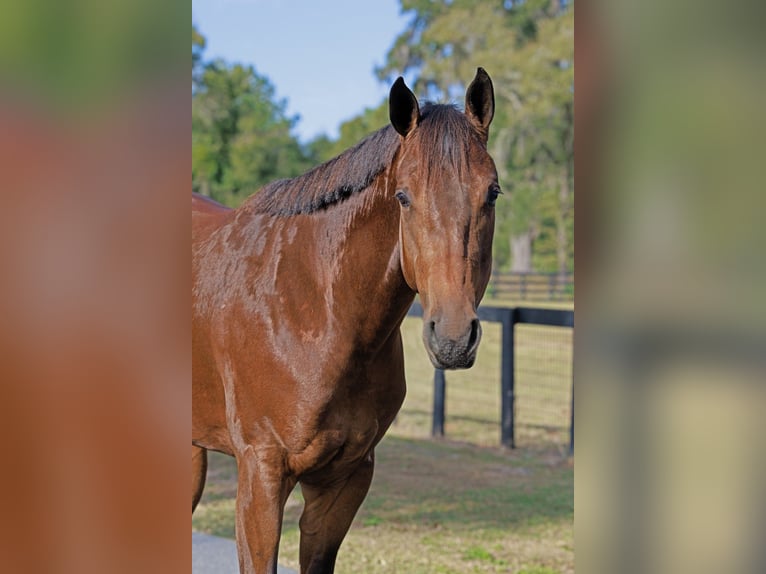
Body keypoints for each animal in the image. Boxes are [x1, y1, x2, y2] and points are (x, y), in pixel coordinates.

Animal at [192, 68, 498, 574]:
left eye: (492, 192)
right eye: (403, 197)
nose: (454, 337)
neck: (314, 313)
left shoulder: (345, 479)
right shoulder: (260, 476)